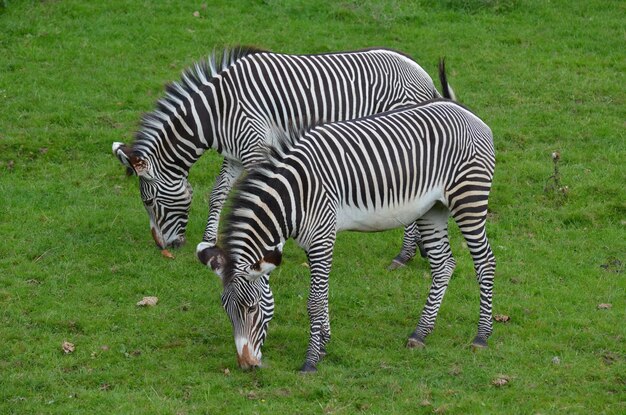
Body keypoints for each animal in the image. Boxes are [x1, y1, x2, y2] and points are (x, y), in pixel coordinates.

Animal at [113, 45, 454, 266]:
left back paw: (405, 254)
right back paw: (419, 249)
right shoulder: (235, 155)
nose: (165, 248)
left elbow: (260, 196)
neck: (216, 112)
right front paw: (209, 240)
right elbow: (217, 193)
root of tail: (421, 72)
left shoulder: (255, 150)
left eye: (148, 202)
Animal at [197, 99, 494, 372]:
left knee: (485, 262)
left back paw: (481, 336)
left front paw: (310, 361)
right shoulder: (313, 242)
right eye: (226, 309)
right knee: (444, 265)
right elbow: (323, 294)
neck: (293, 196)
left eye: (251, 308)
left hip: (468, 198)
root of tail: (469, 114)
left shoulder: (322, 237)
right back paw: (420, 333)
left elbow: (314, 301)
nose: (246, 365)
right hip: (432, 209)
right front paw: (324, 344)